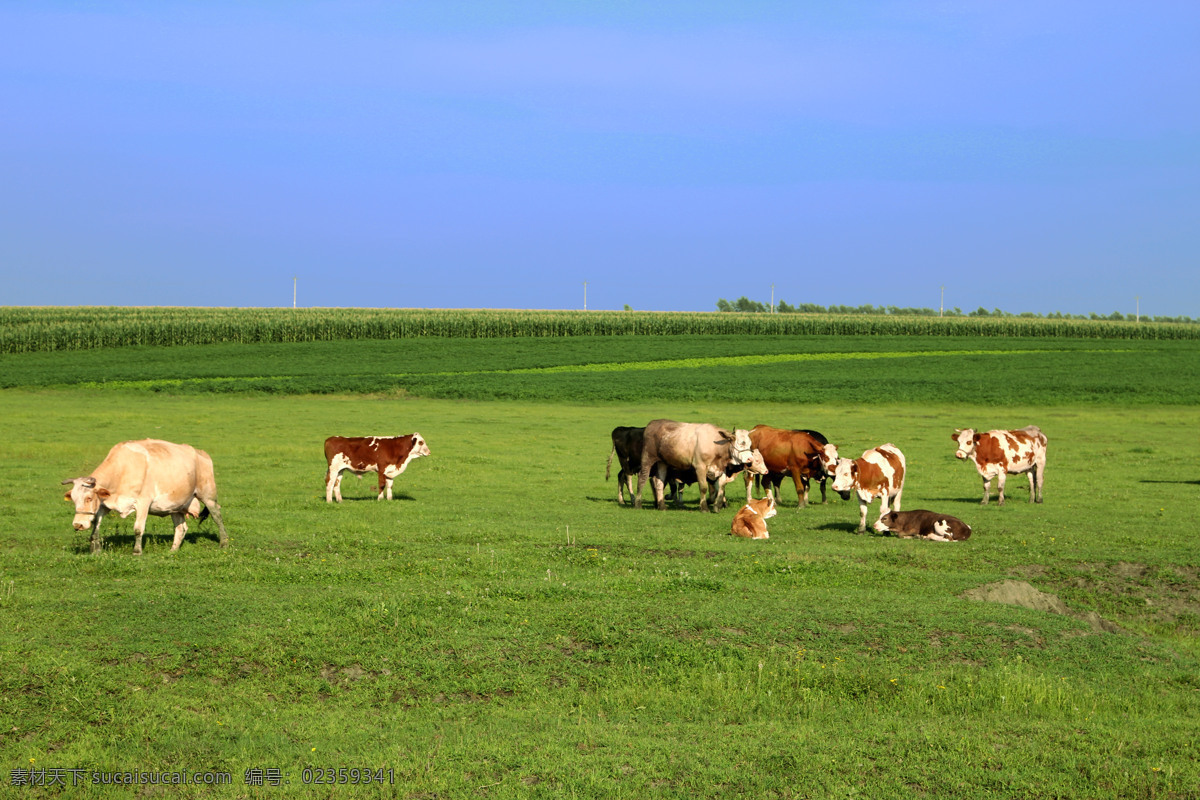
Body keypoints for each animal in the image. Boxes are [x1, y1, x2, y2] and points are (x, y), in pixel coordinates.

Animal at [62, 438, 228, 556]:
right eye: (74, 500)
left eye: (89, 498)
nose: (78, 524)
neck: (122, 470)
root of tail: (201, 453)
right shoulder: (104, 504)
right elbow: (96, 526)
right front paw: (95, 550)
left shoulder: (143, 503)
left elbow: (138, 529)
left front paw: (137, 552)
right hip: (176, 505)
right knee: (181, 528)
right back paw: (173, 551)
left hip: (208, 496)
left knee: (217, 516)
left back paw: (224, 543)